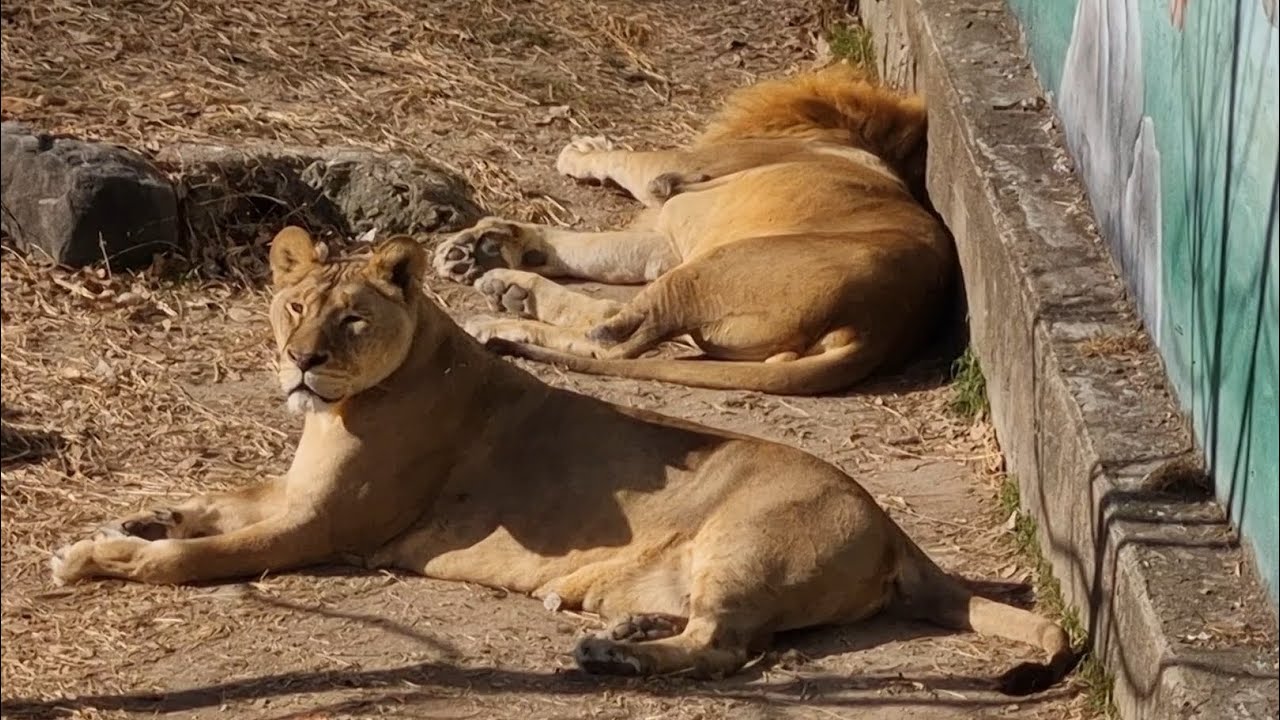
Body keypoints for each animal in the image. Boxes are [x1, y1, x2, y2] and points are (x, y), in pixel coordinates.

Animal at [50, 228, 1073, 694]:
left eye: (352, 319)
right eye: (294, 306)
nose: (302, 361)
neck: (341, 409)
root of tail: (898, 532)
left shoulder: (322, 526)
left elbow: (202, 555)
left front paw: (112, 556)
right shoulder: (293, 491)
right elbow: (217, 500)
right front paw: (135, 519)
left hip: (746, 542)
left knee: (729, 650)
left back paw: (608, 654)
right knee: (718, 632)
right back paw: (621, 625)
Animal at [431, 64, 954, 395]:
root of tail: (878, 327)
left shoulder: (673, 173)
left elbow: (626, 161)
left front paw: (581, 152)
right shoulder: (664, 239)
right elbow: (588, 246)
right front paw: (495, 247)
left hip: (713, 268)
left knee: (614, 342)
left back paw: (501, 316)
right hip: (705, 293)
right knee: (617, 326)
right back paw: (505, 282)